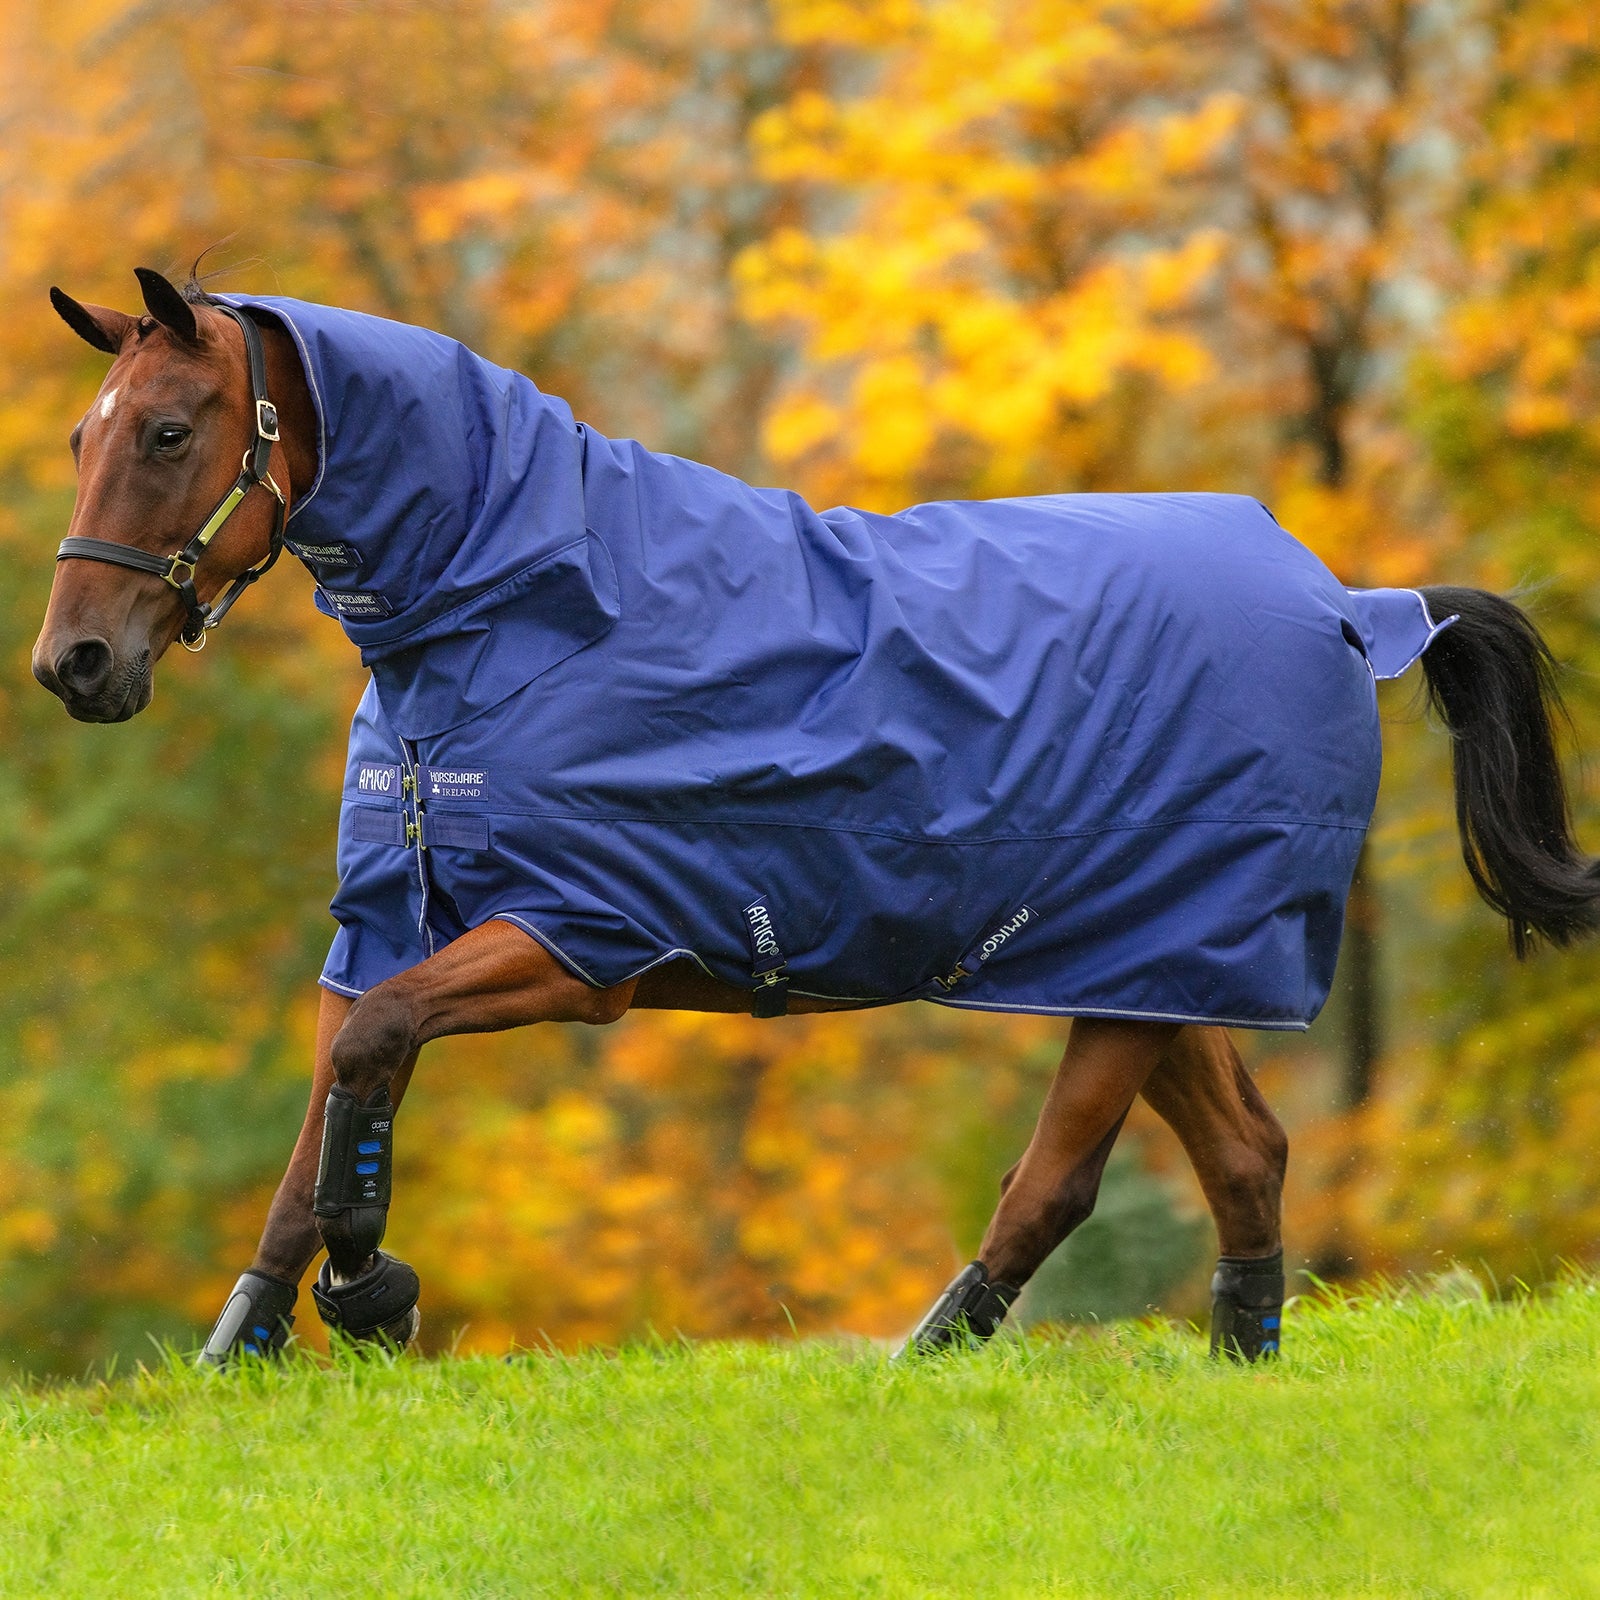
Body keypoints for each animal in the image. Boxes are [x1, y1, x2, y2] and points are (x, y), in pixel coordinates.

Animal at [32, 268, 1600, 1367]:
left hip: (1145, 965)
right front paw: (245, 1352)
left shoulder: (577, 939)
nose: (75, 664)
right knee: (1245, 1157)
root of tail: (1352, 603)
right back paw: (1230, 1366)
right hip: (1159, 966)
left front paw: (375, 1293)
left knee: (1059, 1179)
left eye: (168, 430)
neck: (524, 616)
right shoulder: (379, 929)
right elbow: (313, 1141)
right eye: (83, 431)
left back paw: (925, 1364)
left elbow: (369, 1064)